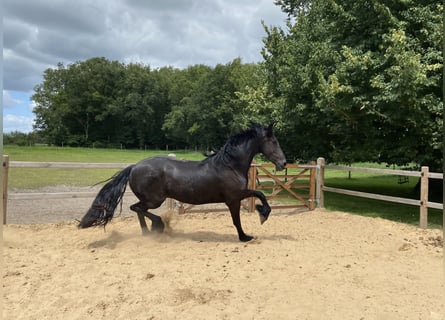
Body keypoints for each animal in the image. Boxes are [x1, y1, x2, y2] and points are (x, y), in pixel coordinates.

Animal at [78, 124, 286, 241]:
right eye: (274, 141)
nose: (283, 163)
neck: (230, 165)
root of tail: (134, 167)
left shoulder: (238, 196)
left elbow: (259, 195)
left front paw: (261, 214)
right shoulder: (234, 198)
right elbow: (239, 217)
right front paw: (246, 235)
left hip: (152, 200)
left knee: (138, 209)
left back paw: (148, 233)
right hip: (155, 200)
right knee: (136, 208)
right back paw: (157, 226)